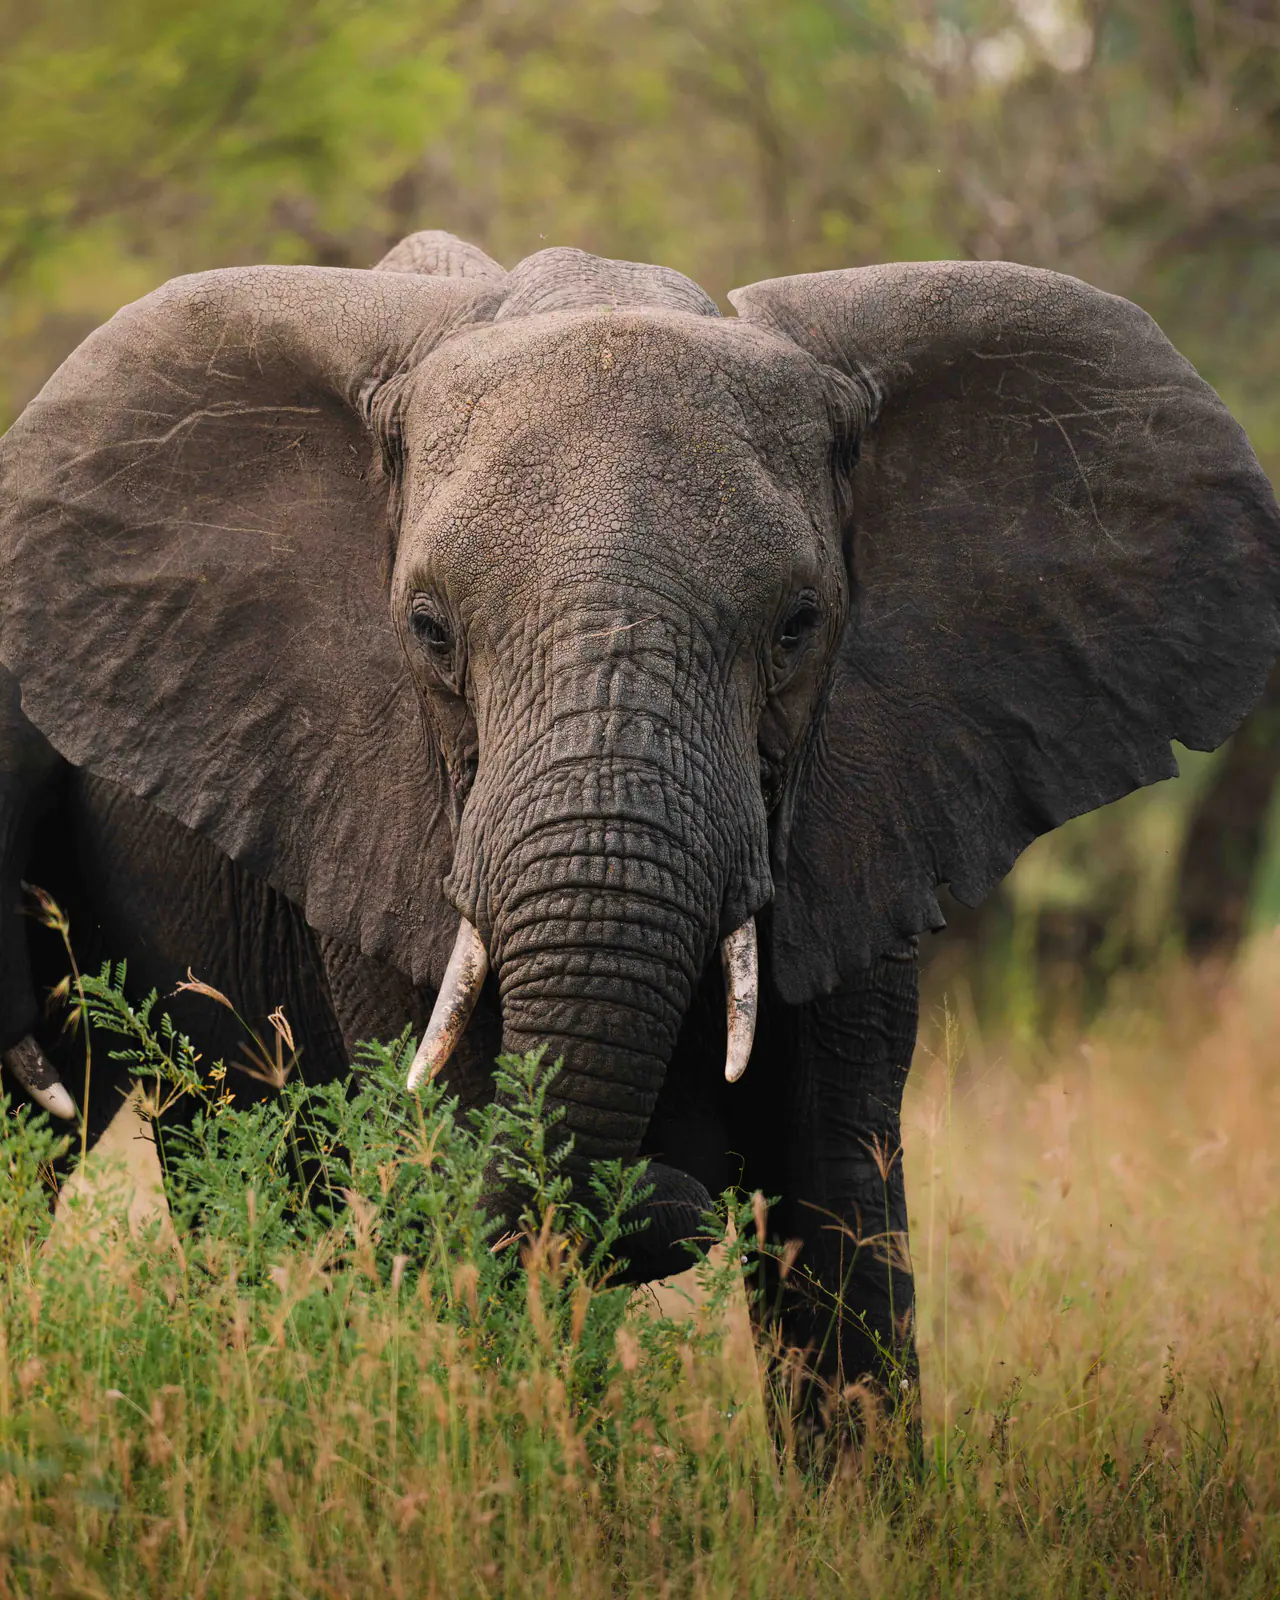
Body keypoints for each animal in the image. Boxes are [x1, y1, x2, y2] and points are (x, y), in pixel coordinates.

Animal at [1, 229, 1278, 1445]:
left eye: (797, 626)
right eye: (427, 632)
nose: (667, 1186)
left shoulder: (867, 798)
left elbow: (837, 1202)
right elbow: (464, 1164)